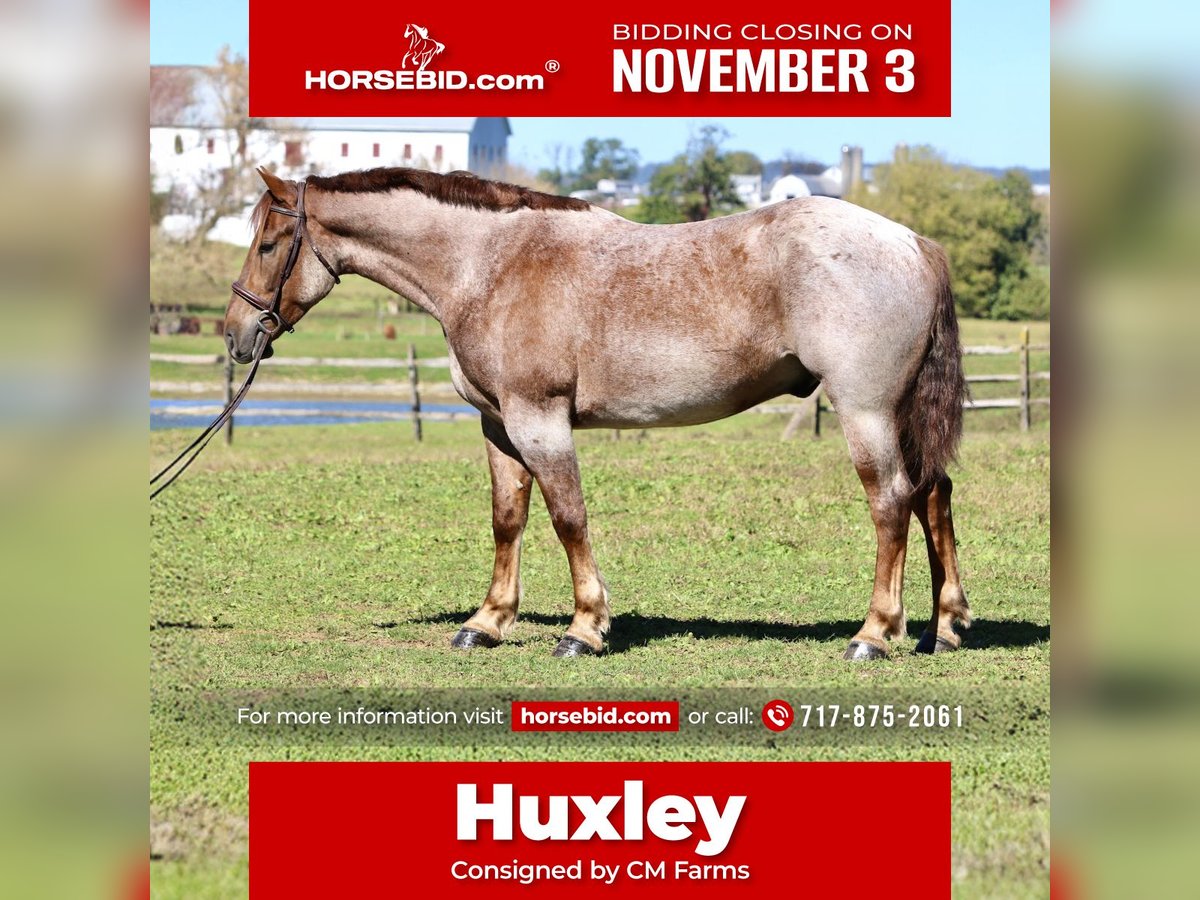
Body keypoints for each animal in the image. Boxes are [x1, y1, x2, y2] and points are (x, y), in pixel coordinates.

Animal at [223, 166, 971, 660]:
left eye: (268, 245)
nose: (236, 335)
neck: (488, 265)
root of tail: (915, 243)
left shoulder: (540, 420)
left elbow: (568, 519)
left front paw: (584, 628)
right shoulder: (498, 425)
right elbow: (508, 519)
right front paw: (487, 621)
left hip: (865, 411)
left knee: (891, 503)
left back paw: (875, 633)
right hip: (902, 414)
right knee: (933, 495)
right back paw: (945, 626)